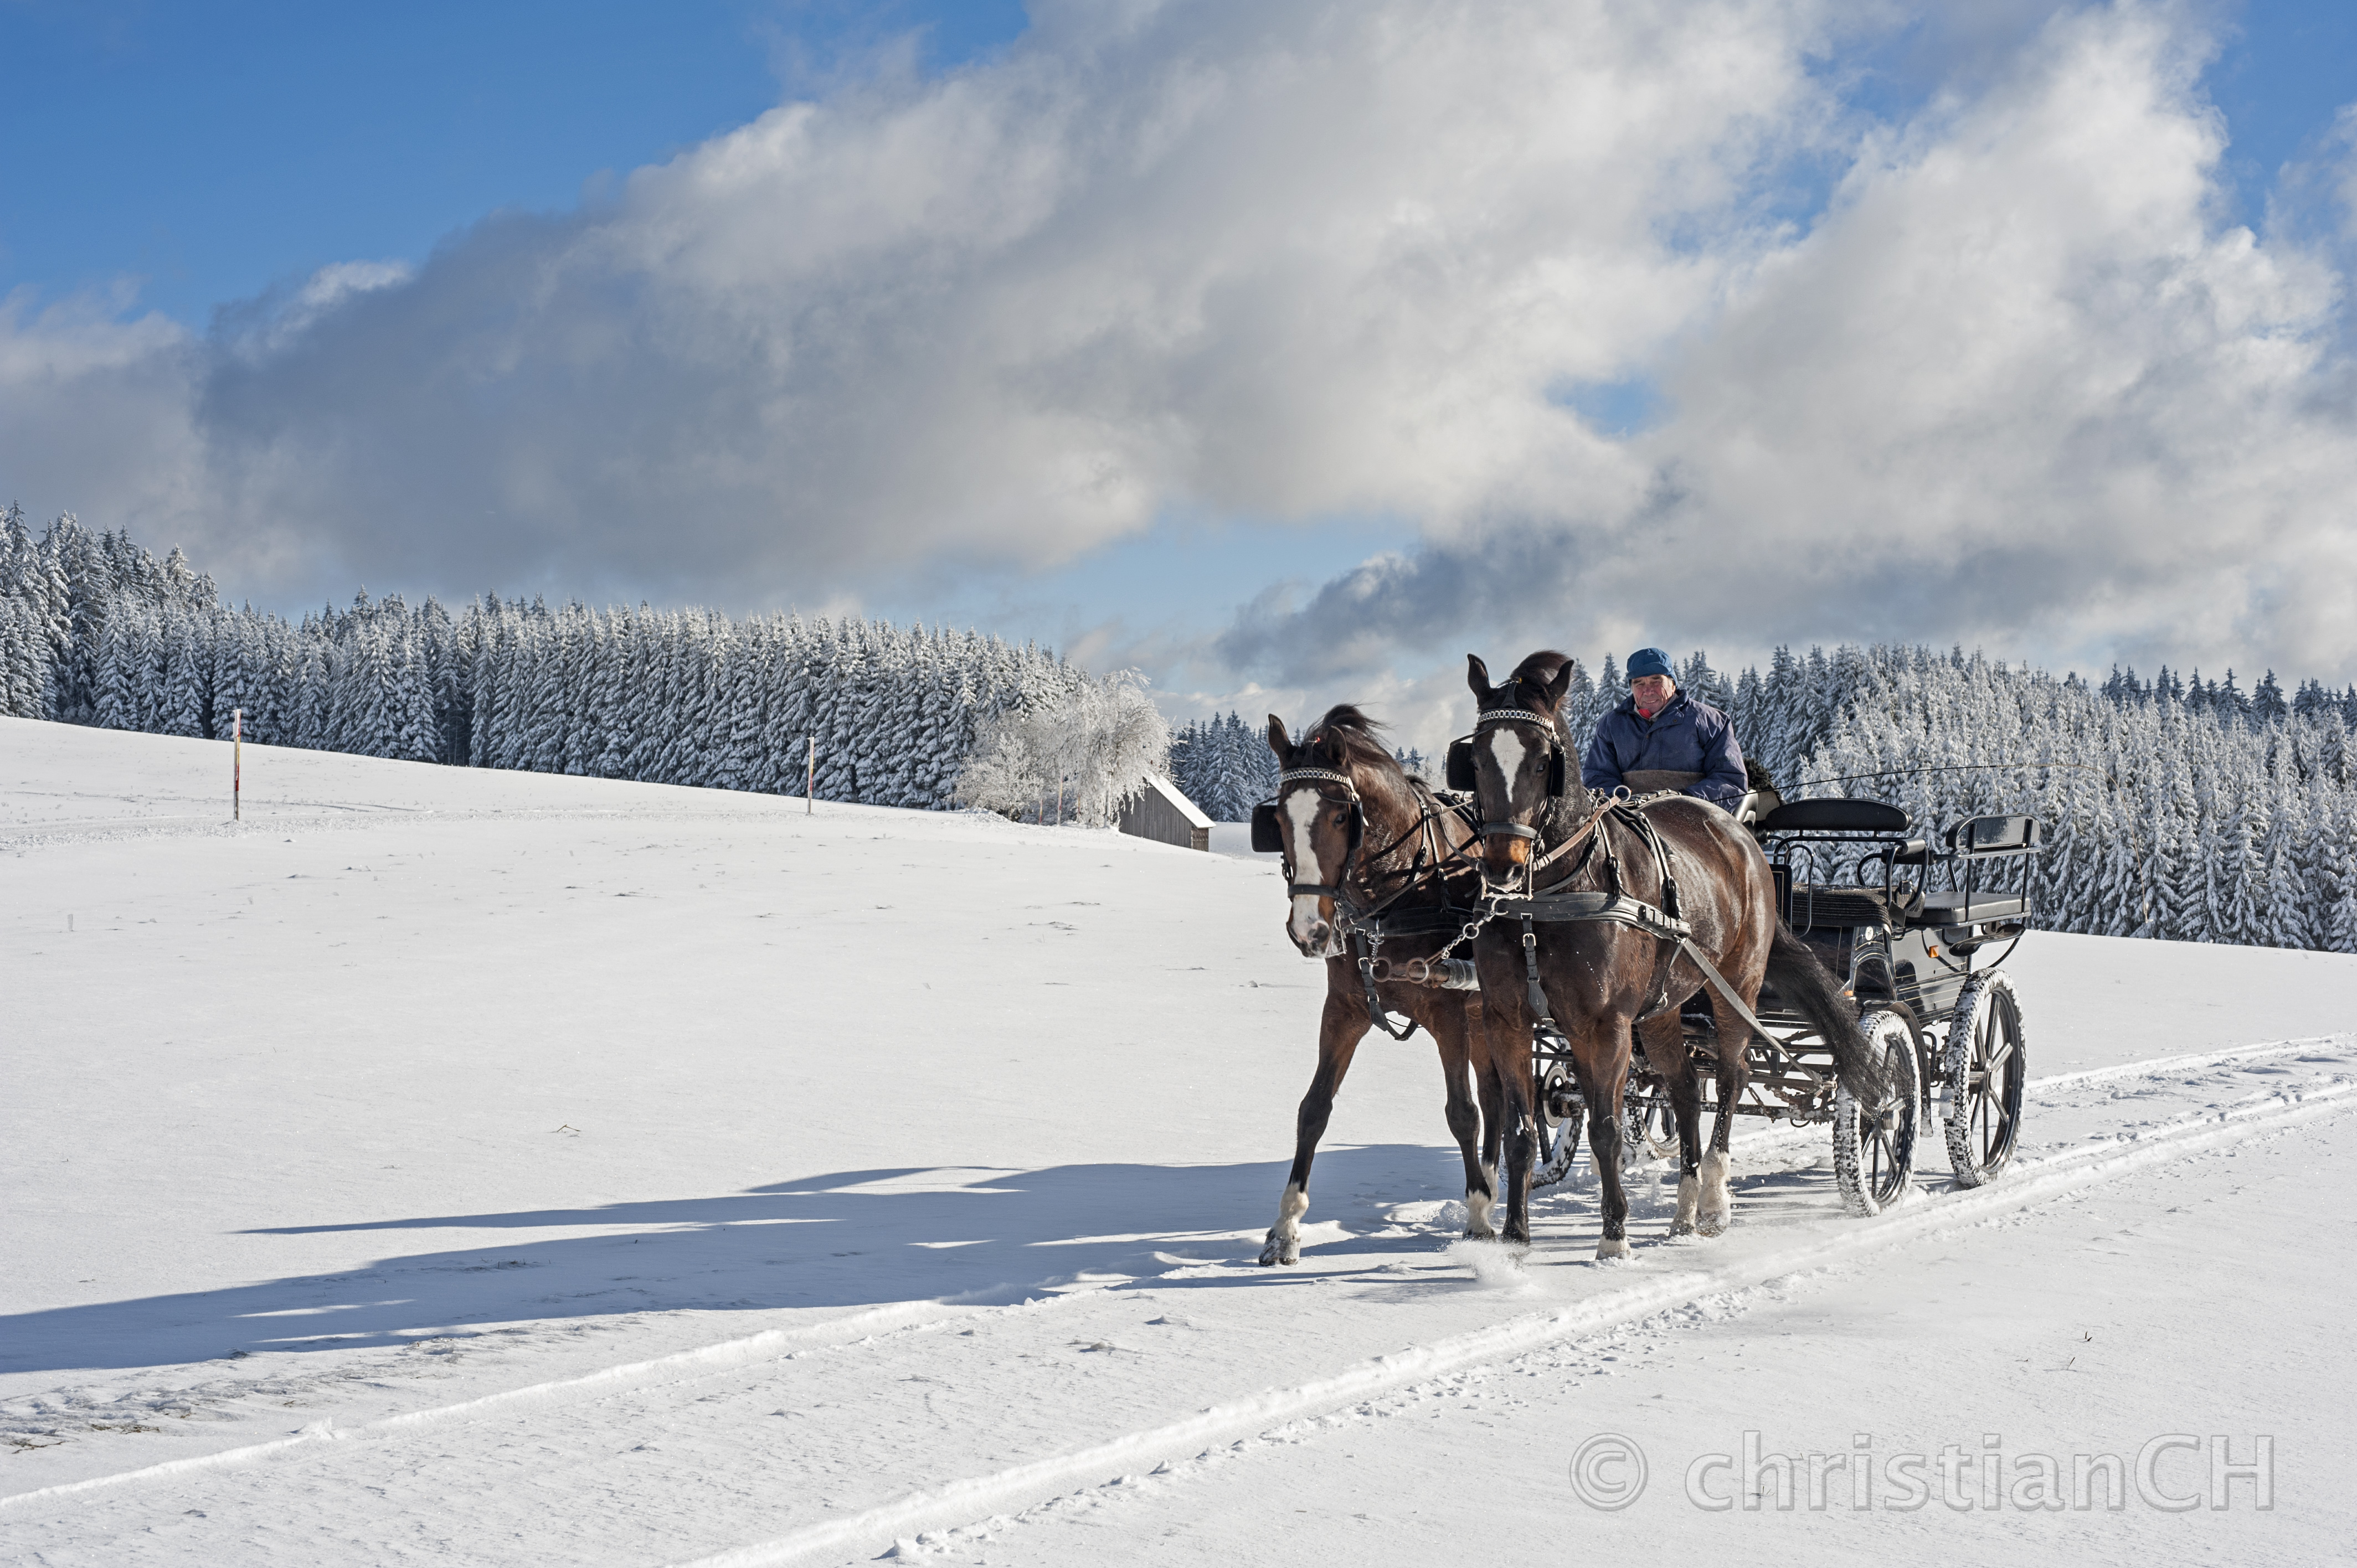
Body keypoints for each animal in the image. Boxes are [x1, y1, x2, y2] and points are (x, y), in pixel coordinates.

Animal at [1254, 703, 1508, 1263]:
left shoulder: (1449, 1013)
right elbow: (1313, 1110)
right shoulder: (1345, 1010)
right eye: (1278, 819)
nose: (1309, 931)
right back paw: (1494, 1181)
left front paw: (1479, 1220)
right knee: (1499, 1095)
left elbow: (1462, 1113)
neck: (1401, 891)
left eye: (1340, 817)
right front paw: (1285, 1228)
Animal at [1461, 655, 1885, 1254]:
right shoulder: (1508, 1019)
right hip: (1663, 1008)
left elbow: (1606, 1128)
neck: (1545, 901)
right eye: (1474, 758)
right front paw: (1515, 1236)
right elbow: (1521, 1128)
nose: (1503, 865)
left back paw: (1712, 1199)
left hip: (1735, 985)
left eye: (1545, 761)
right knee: (1684, 1088)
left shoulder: (1605, 1025)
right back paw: (1683, 1209)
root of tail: (1744, 844)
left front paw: (1614, 1237)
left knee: (1731, 1078)